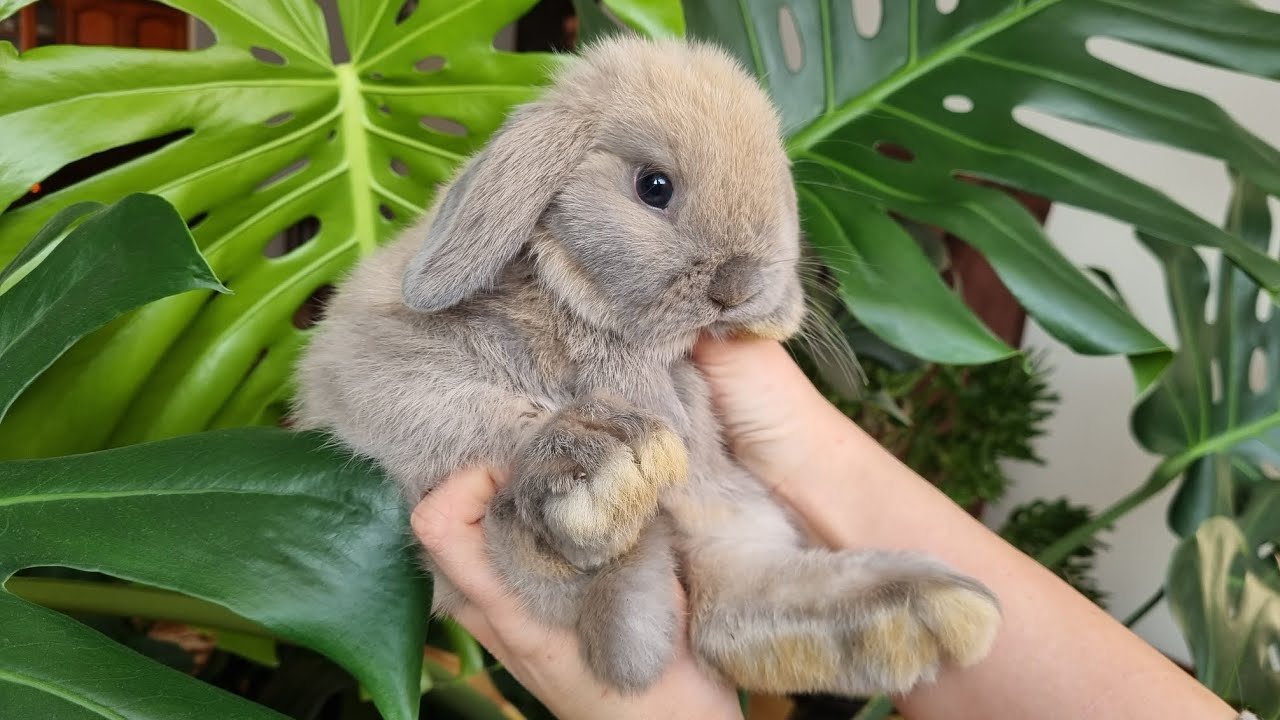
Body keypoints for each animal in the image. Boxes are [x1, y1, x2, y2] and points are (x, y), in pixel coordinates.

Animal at [293, 34, 1001, 698]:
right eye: (653, 187)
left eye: (781, 181)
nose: (739, 285)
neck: (599, 318)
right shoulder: (369, 366)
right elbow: (470, 412)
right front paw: (600, 455)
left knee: (732, 602)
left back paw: (924, 608)